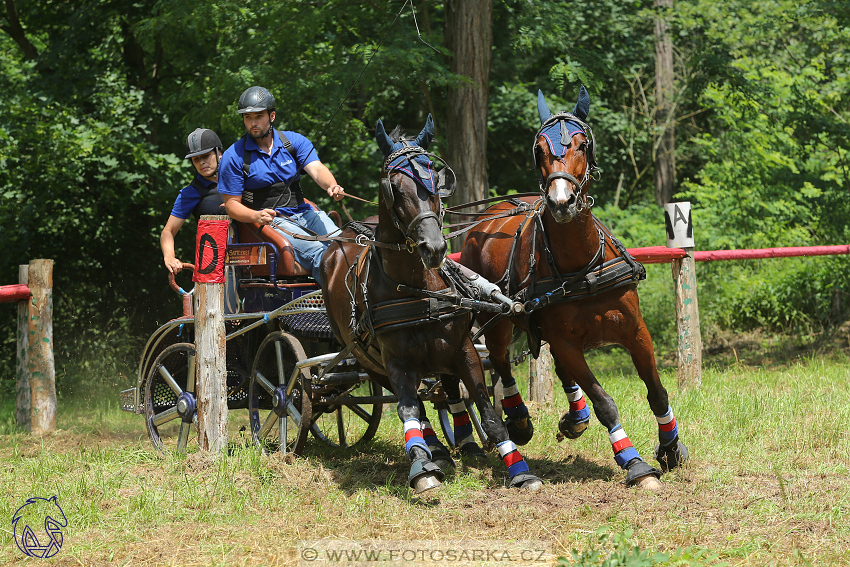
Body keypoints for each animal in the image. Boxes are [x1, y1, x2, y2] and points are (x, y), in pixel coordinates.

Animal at [322, 117, 540, 494]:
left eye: (436, 180)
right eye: (395, 187)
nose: (434, 248)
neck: (417, 289)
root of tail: (343, 236)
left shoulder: (463, 350)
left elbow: (488, 411)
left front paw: (519, 470)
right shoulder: (394, 362)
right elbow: (409, 412)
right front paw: (422, 469)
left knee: (443, 392)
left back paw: (453, 446)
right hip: (370, 360)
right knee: (416, 409)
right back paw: (432, 452)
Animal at [458, 89, 688, 488]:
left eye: (582, 145)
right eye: (539, 149)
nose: (561, 201)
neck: (582, 266)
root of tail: (486, 218)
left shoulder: (635, 331)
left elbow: (657, 392)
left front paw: (671, 446)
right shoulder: (566, 342)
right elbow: (605, 402)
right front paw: (634, 462)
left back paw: (574, 417)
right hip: (499, 319)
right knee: (499, 360)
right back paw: (518, 419)